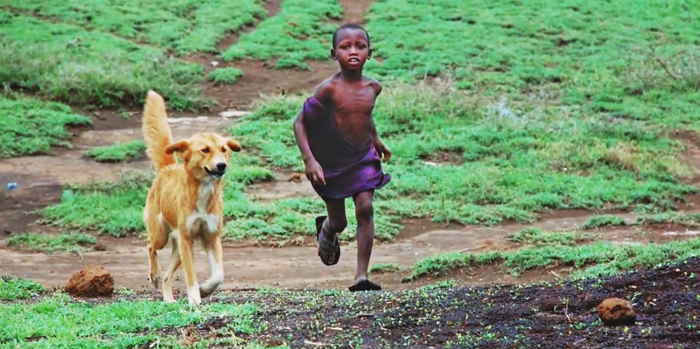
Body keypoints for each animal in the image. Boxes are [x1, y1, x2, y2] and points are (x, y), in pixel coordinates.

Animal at [141, 90, 242, 304]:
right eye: (205, 150)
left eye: (224, 150)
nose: (222, 165)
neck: (203, 191)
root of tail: (167, 168)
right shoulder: (187, 239)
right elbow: (190, 275)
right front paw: (195, 299)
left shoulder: (211, 237)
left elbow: (219, 274)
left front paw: (205, 290)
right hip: (162, 235)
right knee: (150, 245)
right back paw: (155, 275)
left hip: (177, 247)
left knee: (168, 276)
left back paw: (169, 300)